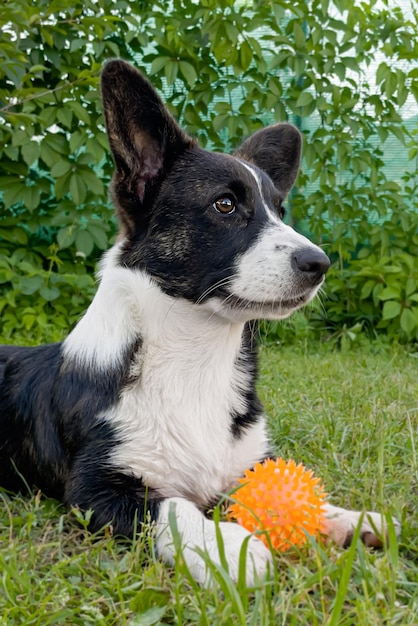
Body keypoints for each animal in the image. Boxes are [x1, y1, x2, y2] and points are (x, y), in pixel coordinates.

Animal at [0, 59, 398, 584]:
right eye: (225, 204)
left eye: (281, 211)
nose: (319, 264)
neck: (196, 355)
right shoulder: (96, 490)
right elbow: (173, 508)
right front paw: (227, 547)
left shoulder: (250, 460)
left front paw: (349, 518)